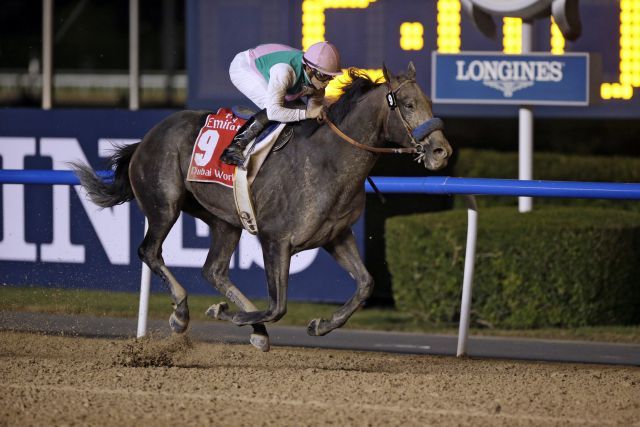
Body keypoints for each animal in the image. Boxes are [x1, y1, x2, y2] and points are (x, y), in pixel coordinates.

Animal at [74, 63, 450, 352]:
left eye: (429, 102)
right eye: (407, 104)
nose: (441, 151)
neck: (328, 161)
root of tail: (146, 138)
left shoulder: (336, 236)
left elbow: (365, 285)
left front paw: (321, 324)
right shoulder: (275, 240)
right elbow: (278, 306)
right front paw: (223, 314)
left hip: (225, 221)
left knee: (213, 270)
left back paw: (251, 329)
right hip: (165, 204)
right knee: (150, 251)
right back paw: (181, 312)